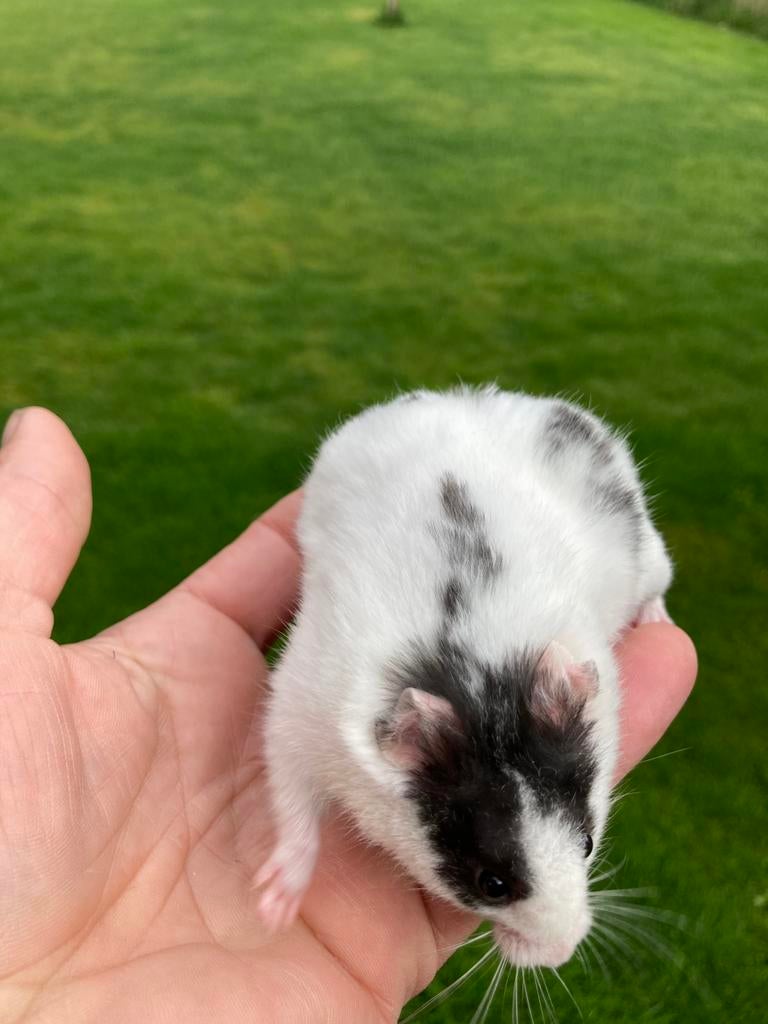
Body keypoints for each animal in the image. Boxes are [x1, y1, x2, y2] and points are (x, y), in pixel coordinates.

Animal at [256, 386, 673, 968]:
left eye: (589, 842)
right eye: (491, 883)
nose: (561, 953)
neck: (480, 685)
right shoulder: (294, 717)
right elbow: (293, 808)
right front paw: (272, 910)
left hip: (653, 555)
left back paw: (658, 622)